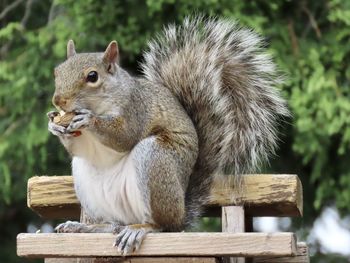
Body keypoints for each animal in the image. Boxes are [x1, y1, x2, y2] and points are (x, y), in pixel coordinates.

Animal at [48, 16, 290, 256]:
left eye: (92, 76)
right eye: (57, 71)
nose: (58, 101)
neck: (101, 103)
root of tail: (180, 213)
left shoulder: (137, 109)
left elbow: (125, 136)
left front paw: (89, 120)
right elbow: (77, 148)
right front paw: (54, 124)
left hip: (155, 158)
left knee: (162, 225)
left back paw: (141, 229)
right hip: (87, 180)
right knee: (112, 225)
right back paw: (85, 227)